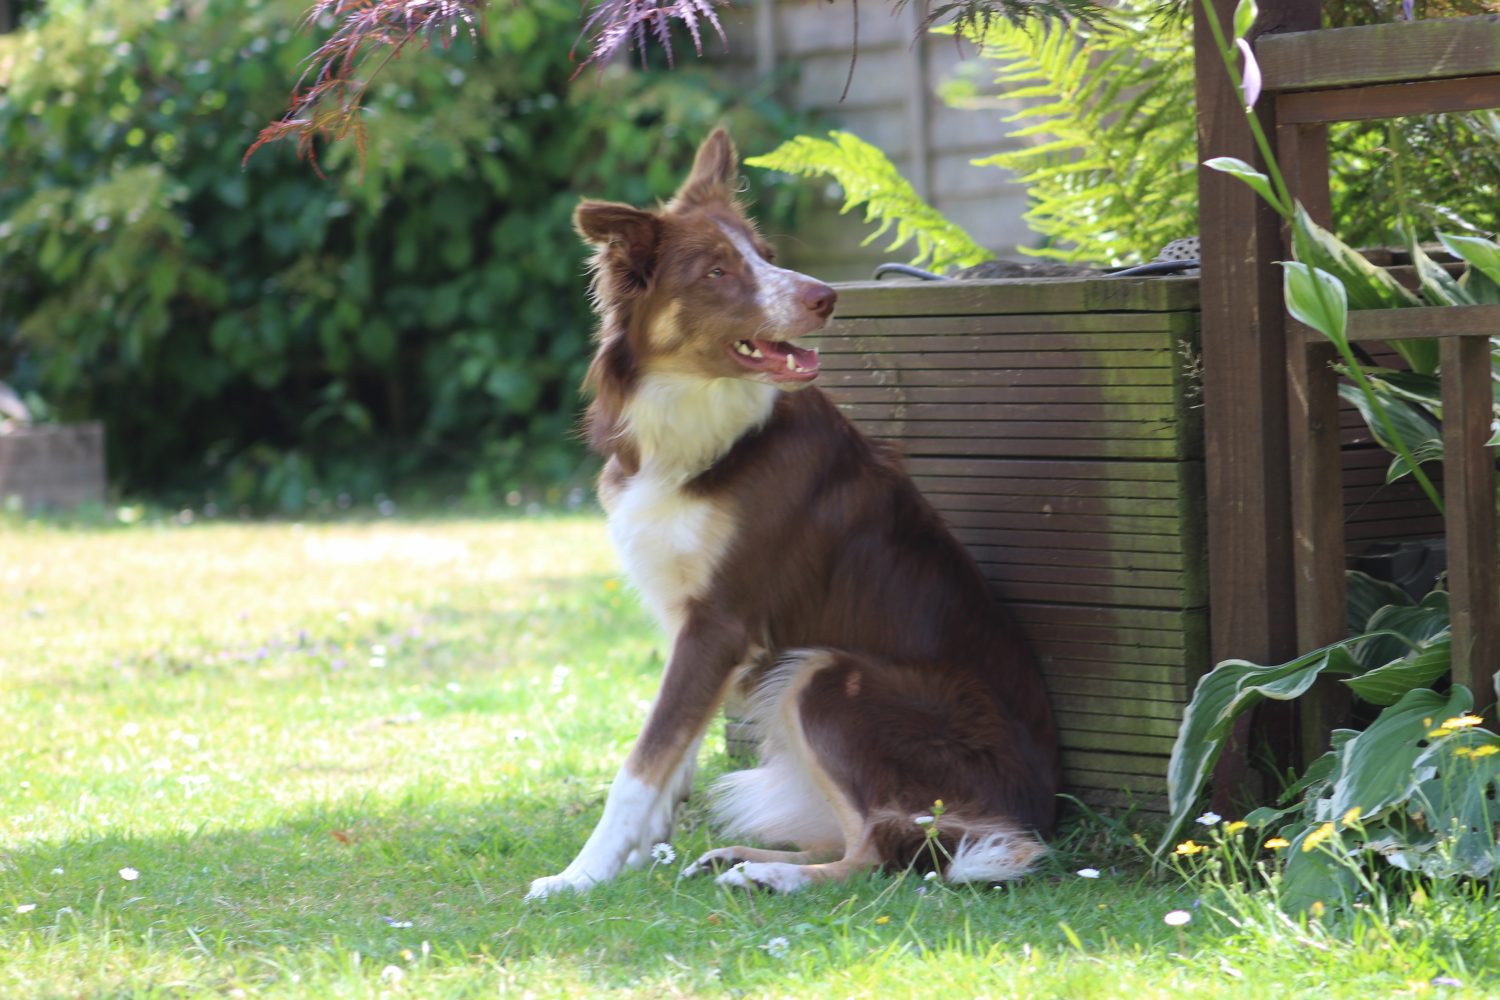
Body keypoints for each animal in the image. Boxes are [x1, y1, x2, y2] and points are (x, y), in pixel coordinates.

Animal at [526, 129, 1058, 899]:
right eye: (718, 270)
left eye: (767, 255)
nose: (826, 297)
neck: (703, 424)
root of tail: (1039, 811)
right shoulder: (689, 621)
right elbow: (674, 749)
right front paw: (637, 850)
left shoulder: (722, 621)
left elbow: (642, 762)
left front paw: (580, 875)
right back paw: (738, 859)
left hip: (828, 677)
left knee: (881, 850)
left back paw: (770, 874)